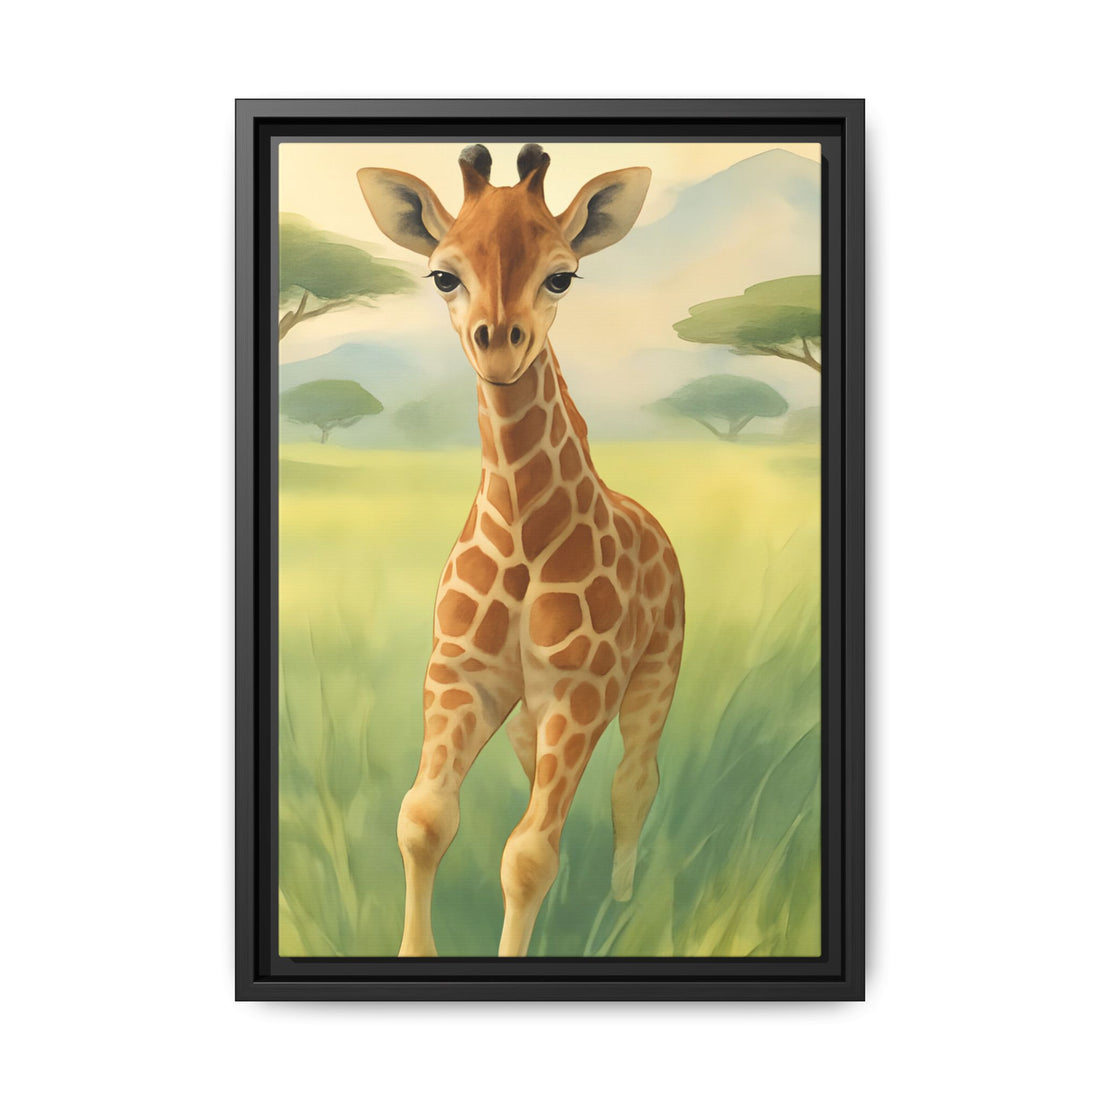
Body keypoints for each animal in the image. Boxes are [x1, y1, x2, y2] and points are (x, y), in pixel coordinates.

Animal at [357, 144, 685, 957]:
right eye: (443, 274)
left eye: (560, 275)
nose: (498, 345)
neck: (524, 538)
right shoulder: (460, 676)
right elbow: (423, 819)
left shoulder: (581, 688)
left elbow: (528, 853)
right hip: (529, 713)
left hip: (655, 674)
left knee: (635, 783)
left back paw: (620, 902)